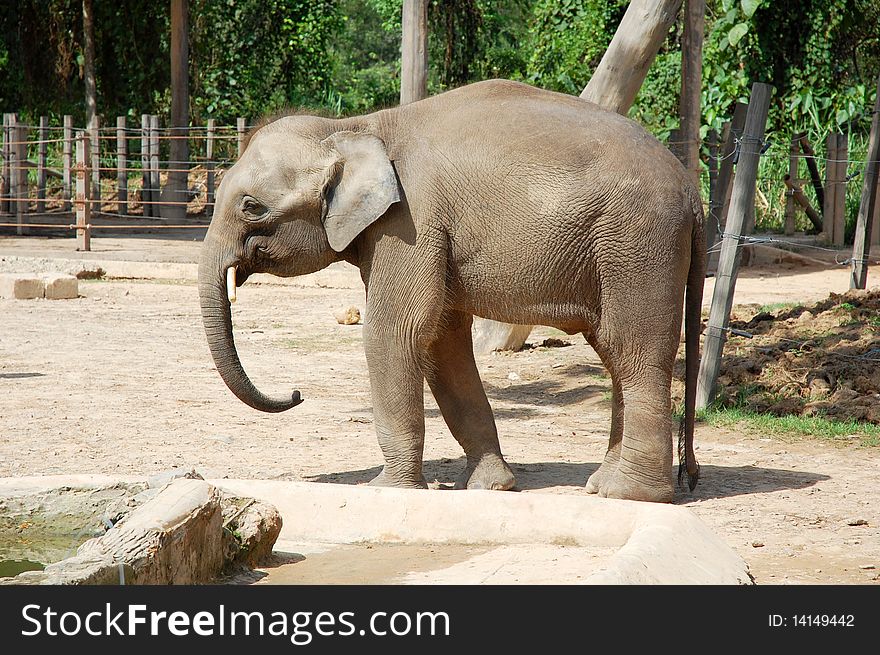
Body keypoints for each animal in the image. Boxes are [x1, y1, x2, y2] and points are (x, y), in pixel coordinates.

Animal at [196, 79, 704, 504]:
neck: (355, 127)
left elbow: (395, 332)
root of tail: (691, 191)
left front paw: (385, 489)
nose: (297, 393)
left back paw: (630, 495)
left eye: (251, 207)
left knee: (632, 350)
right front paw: (489, 487)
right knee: (613, 353)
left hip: (637, 244)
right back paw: (601, 485)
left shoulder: (410, 223)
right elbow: (442, 342)